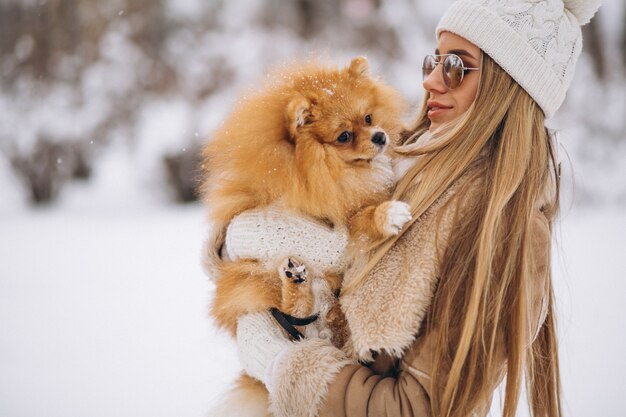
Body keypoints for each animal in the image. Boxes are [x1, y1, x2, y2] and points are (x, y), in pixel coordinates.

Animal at [197, 56, 408, 416]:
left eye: (368, 117)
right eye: (344, 135)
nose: (380, 137)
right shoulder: (334, 227)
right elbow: (359, 223)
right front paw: (388, 215)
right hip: (263, 281)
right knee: (294, 310)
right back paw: (294, 280)